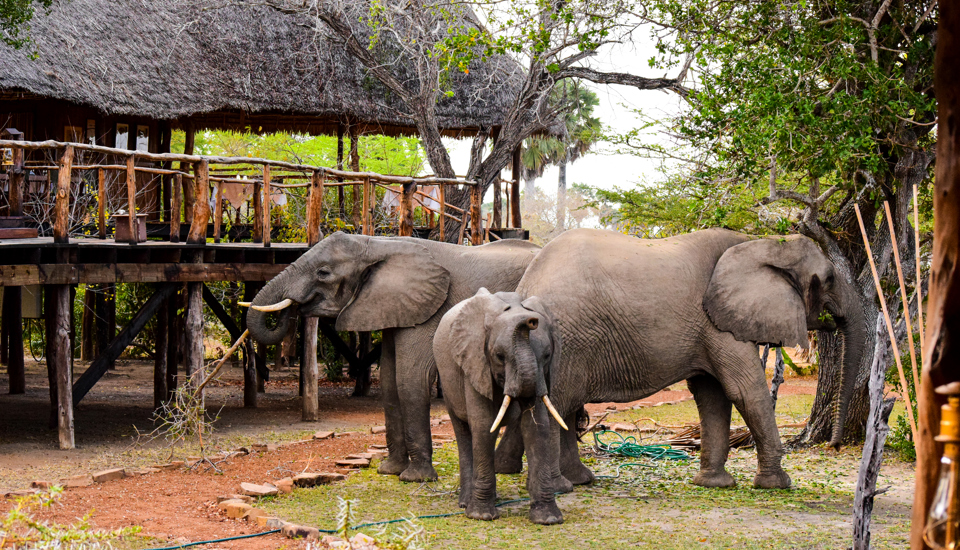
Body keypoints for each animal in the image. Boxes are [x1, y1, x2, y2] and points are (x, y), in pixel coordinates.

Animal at [245, 231, 540, 482]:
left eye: (323, 272)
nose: (293, 308)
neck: (378, 244)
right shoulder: (390, 307)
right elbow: (388, 380)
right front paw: (390, 471)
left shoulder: (427, 309)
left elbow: (409, 379)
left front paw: (414, 478)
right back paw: (506, 468)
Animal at [433, 289, 565, 525]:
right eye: (499, 356)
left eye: (547, 356)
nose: (531, 321)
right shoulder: (475, 362)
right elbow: (484, 424)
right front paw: (481, 516)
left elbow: (536, 427)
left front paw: (548, 519)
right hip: (448, 384)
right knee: (464, 432)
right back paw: (465, 503)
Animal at [496, 228, 866, 490]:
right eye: (828, 279)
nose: (834, 445)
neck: (758, 241)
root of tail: (527, 282)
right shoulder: (718, 326)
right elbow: (746, 392)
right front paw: (777, 485)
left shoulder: (709, 327)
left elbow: (712, 395)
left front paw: (714, 484)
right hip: (568, 337)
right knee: (557, 403)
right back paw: (558, 485)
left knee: (564, 405)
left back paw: (572, 480)